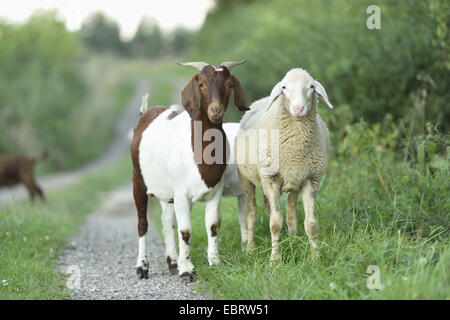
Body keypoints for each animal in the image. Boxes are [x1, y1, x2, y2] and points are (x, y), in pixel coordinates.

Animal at [130, 60, 248, 280]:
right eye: (201, 84)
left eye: (229, 84)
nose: (216, 110)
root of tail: (145, 113)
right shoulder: (182, 194)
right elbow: (185, 230)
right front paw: (186, 269)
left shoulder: (214, 192)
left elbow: (212, 226)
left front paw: (214, 262)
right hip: (138, 181)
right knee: (142, 224)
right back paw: (142, 267)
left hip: (168, 193)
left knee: (167, 221)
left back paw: (172, 261)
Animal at [236, 69, 334, 262]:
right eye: (284, 87)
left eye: (311, 87)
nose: (298, 109)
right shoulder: (270, 180)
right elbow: (275, 223)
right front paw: (275, 259)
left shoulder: (311, 180)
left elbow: (311, 224)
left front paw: (315, 256)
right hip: (247, 179)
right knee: (251, 212)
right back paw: (250, 248)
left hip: (294, 181)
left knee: (291, 211)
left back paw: (293, 239)